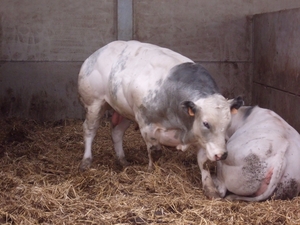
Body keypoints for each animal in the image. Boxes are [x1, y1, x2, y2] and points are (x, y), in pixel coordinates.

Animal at [77, 40, 241, 199]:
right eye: (206, 123)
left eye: (228, 124)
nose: (222, 155)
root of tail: (97, 53)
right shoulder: (147, 125)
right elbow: (155, 152)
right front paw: (152, 173)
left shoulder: (202, 138)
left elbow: (204, 161)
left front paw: (210, 189)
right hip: (94, 103)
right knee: (89, 130)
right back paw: (86, 161)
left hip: (125, 111)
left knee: (117, 132)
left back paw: (123, 160)